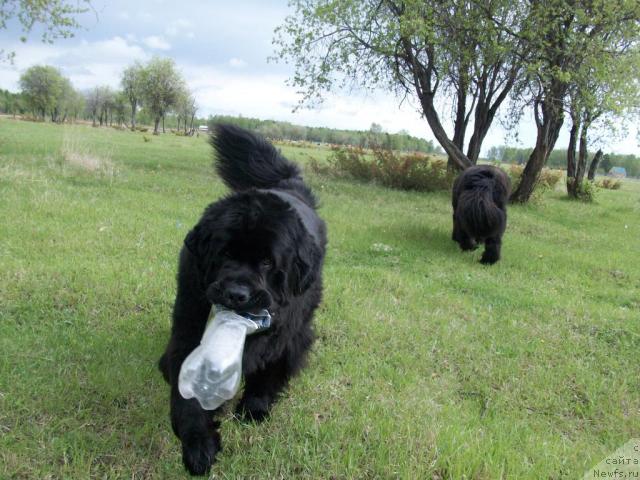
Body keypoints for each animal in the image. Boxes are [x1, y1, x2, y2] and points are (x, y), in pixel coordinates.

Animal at [158, 122, 328, 474]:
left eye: (267, 262)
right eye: (224, 253)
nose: (237, 294)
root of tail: (290, 186)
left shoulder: (279, 322)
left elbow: (260, 355)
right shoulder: (189, 315)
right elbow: (185, 385)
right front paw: (198, 443)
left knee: (285, 356)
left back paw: (256, 405)